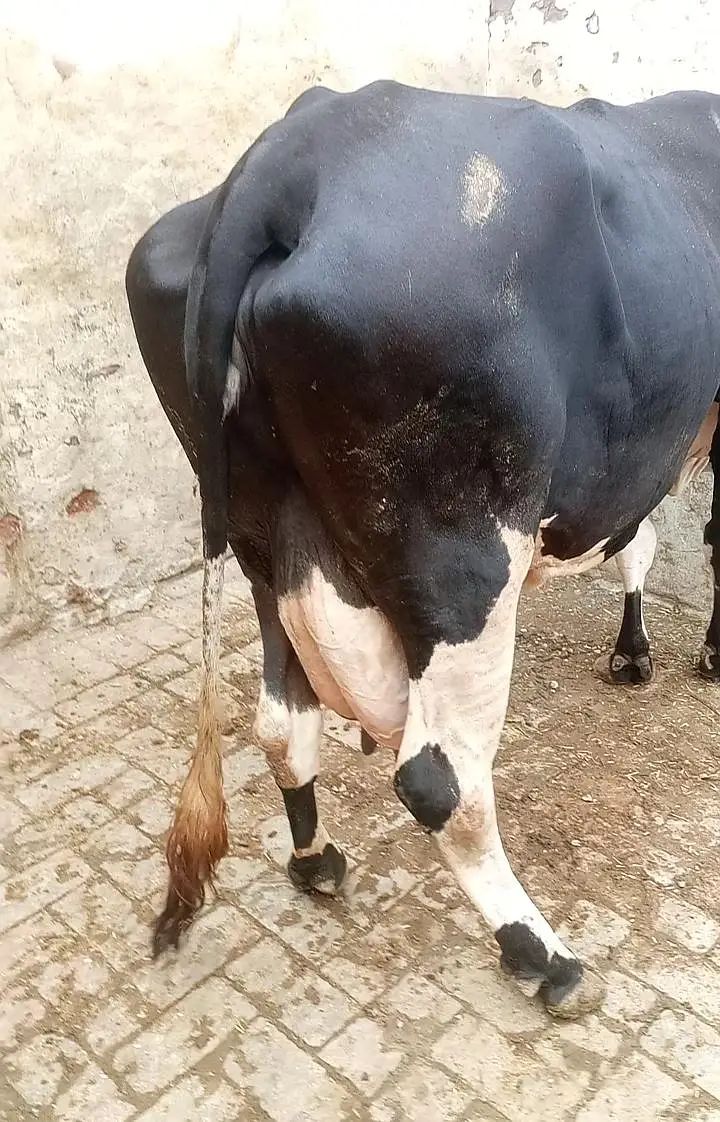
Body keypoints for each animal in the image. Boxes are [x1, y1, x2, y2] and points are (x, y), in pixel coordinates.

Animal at [126, 81, 720, 1020]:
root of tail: (297, 149)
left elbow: (641, 542)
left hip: (263, 541)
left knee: (281, 721)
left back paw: (315, 860)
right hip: (461, 555)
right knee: (441, 779)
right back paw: (542, 955)